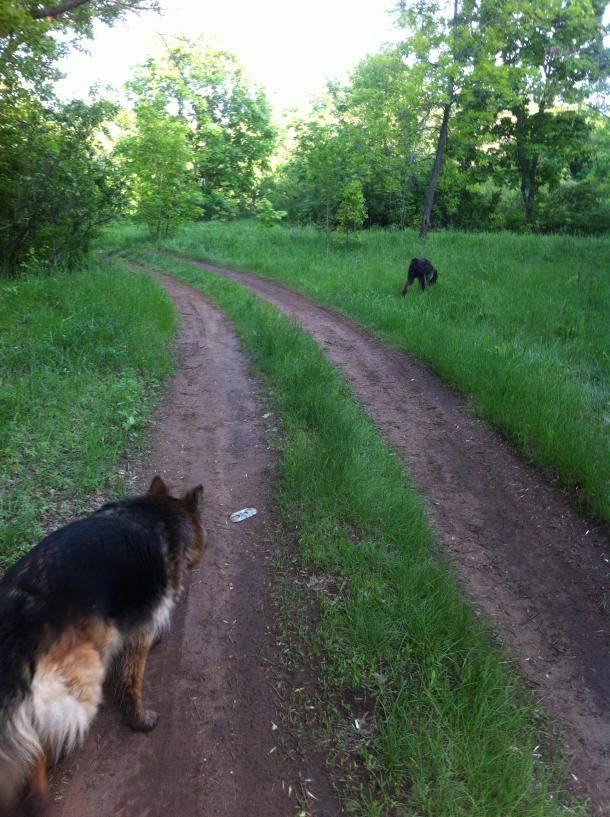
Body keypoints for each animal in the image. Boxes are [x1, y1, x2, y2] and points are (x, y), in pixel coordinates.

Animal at [0, 476, 205, 815]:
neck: (159, 513)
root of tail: (19, 607)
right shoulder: (140, 631)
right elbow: (132, 681)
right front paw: (139, 721)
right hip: (84, 680)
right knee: (38, 742)